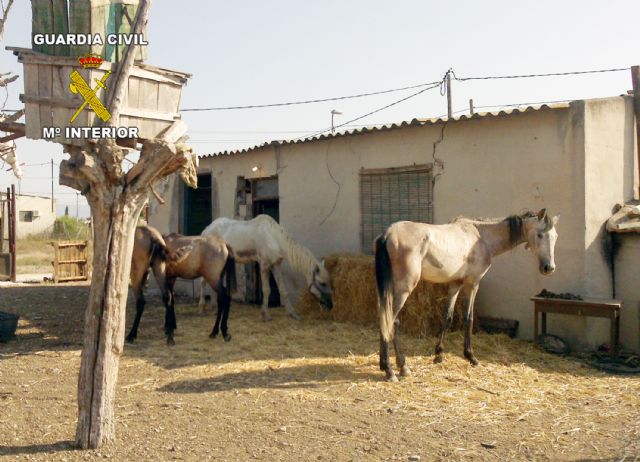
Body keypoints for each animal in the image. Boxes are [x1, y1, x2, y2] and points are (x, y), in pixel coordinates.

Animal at [198, 215, 333, 321]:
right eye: (322, 283)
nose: (331, 305)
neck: (274, 237)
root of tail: (206, 229)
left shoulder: (276, 265)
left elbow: (283, 290)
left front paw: (293, 314)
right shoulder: (264, 265)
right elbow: (267, 290)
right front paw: (266, 315)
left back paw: (214, 307)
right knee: (203, 282)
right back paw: (202, 308)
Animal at [375, 209, 559, 381]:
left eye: (555, 236)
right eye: (540, 234)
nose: (549, 268)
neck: (481, 236)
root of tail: (387, 234)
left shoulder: (455, 284)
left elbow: (447, 317)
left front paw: (439, 355)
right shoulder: (473, 283)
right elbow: (468, 318)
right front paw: (471, 356)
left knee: (390, 321)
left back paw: (400, 367)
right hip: (404, 289)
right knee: (391, 320)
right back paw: (390, 369)